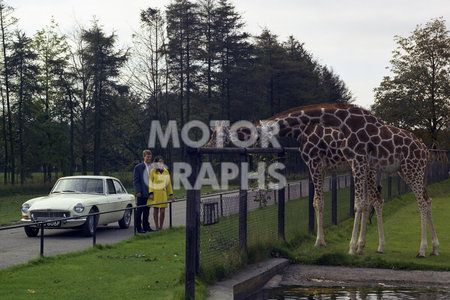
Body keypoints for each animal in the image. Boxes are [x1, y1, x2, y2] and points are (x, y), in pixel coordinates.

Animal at [260, 103, 440, 258]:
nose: (261, 148)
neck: (301, 131)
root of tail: (425, 150)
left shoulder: (316, 163)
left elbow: (325, 202)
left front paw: (324, 243)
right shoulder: (339, 165)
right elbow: (334, 202)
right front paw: (353, 245)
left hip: (410, 170)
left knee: (415, 202)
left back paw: (420, 250)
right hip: (405, 171)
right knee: (425, 200)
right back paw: (433, 248)